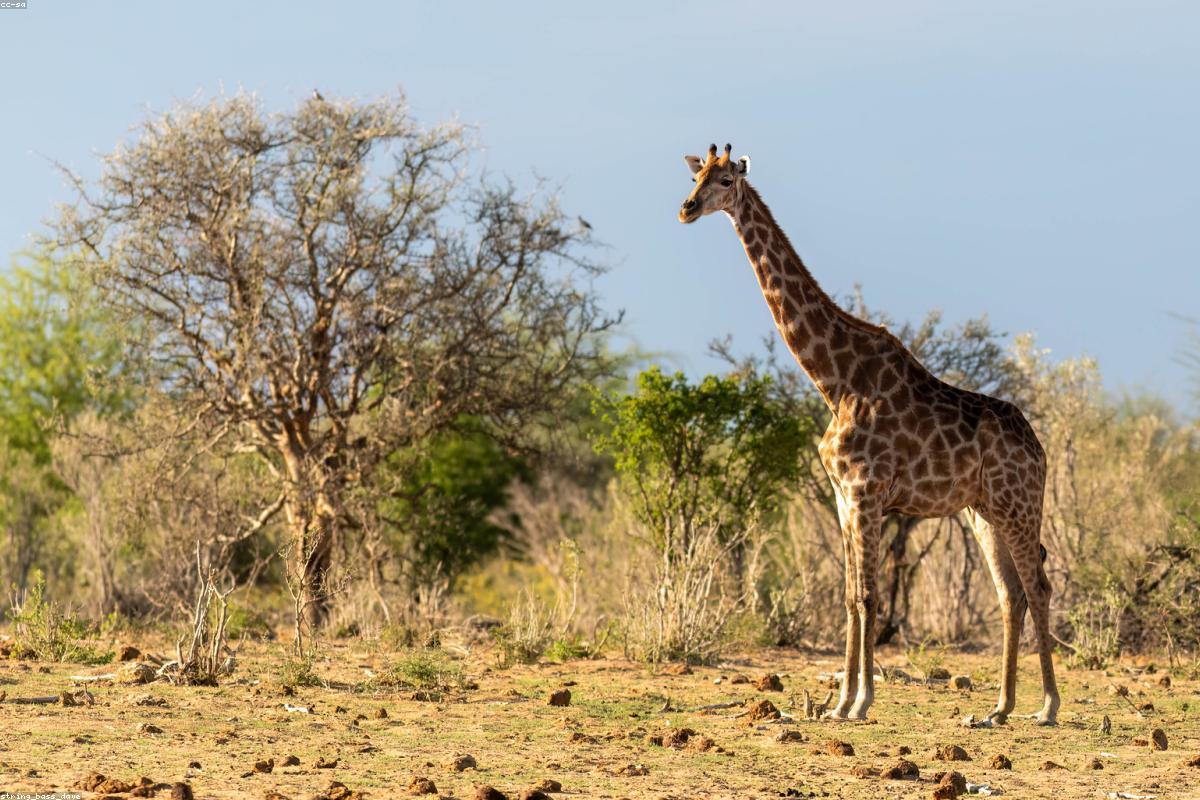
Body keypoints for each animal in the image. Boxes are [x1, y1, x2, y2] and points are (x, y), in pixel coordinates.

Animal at [677, 143, 1060, 726]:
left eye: (724, 180)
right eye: (695, 175)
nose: (687, 208)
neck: (833, 380)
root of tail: (1039, 450)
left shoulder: (865, 492)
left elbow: (869, 597)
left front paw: (860, 701)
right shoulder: (841, 496)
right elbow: (850, 597)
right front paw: (839, 703)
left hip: (1018, 504)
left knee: (1037, 585)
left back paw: (1048, 706)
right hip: (984, 513)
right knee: (1009, 594)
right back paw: (999, 707)